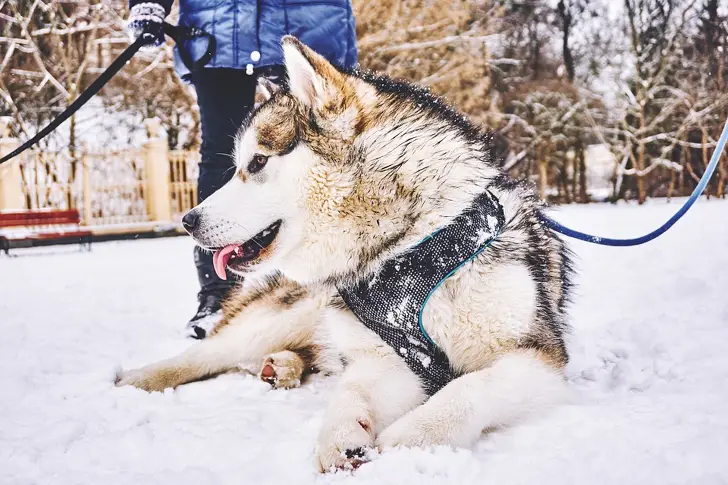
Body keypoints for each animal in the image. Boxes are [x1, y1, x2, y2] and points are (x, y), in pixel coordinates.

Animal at [118, 37, 576, 472]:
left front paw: (412, 436)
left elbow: (470, 386)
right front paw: (339, 436)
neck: (409, 251)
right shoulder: (386, 358)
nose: (188, 221)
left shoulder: (536, 357)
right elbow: (351, 391)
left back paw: (281, 366)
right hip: (291, 313)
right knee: (208, 354)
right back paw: (141, 377)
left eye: (258, 162)